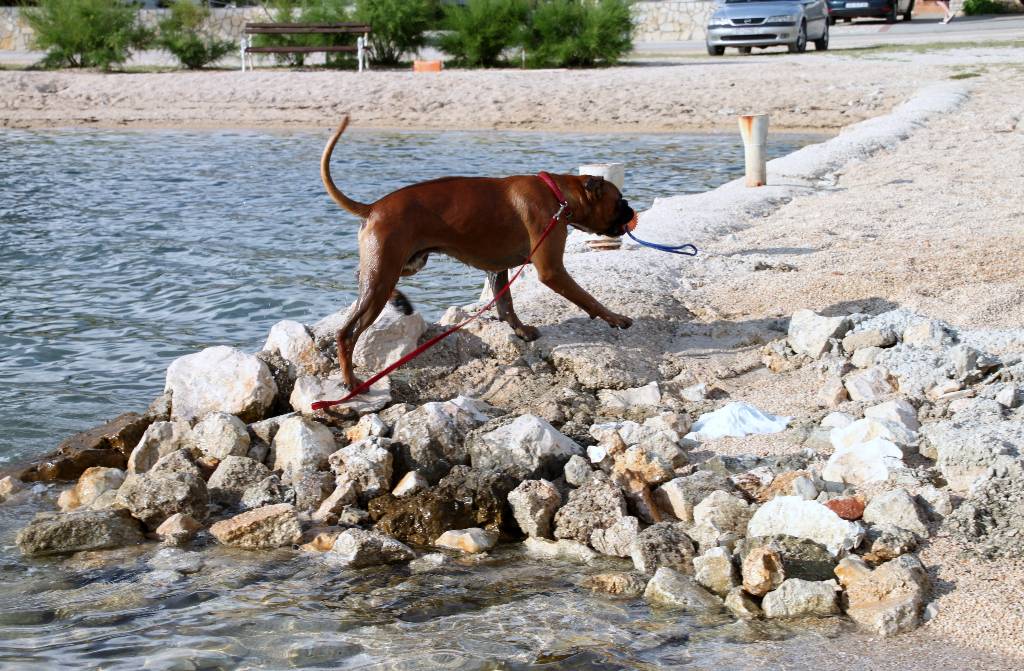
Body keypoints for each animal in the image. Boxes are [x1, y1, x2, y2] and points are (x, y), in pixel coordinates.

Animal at [323, 114, 634, 389]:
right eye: (620, 200)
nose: (631, 210)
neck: (558, 196)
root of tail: (373, 207)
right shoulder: (552, 271)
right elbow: (588, 298)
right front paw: (615, 318)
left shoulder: (498, 270)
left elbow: (506, 304)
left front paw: (520, 330)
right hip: (382, 280)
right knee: (346, 334)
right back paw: (351, 380)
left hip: (399, 266)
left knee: (358, 275)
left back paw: (399, 302)